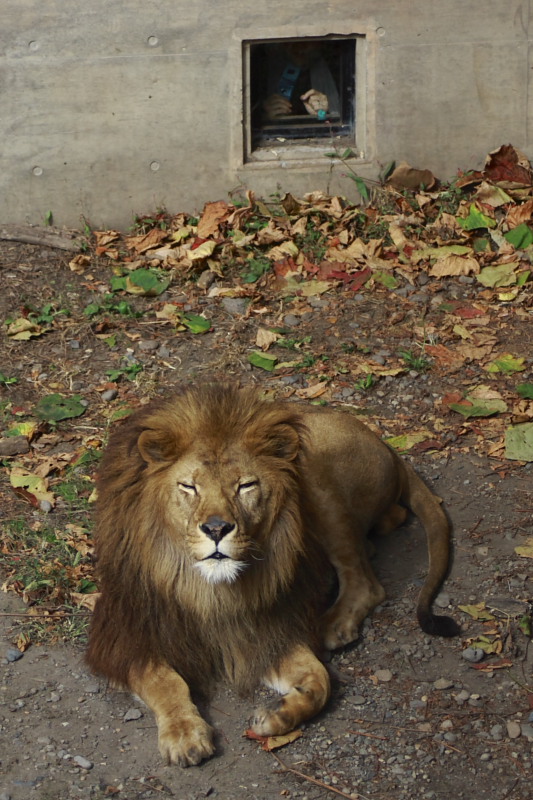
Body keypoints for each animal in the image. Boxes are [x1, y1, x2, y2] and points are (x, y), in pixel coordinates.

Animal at [86, 386, 458, 768]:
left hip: (313, 477)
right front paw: (185, 734)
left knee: (366, 580)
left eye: (246, 486)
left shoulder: (265, 630)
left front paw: (278, 715)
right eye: (189, 487)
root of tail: (383, 444)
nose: (216, 529)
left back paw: (332, 626)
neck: (209, 589)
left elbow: (319, 679)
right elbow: (164, 681)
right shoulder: (125, 636)